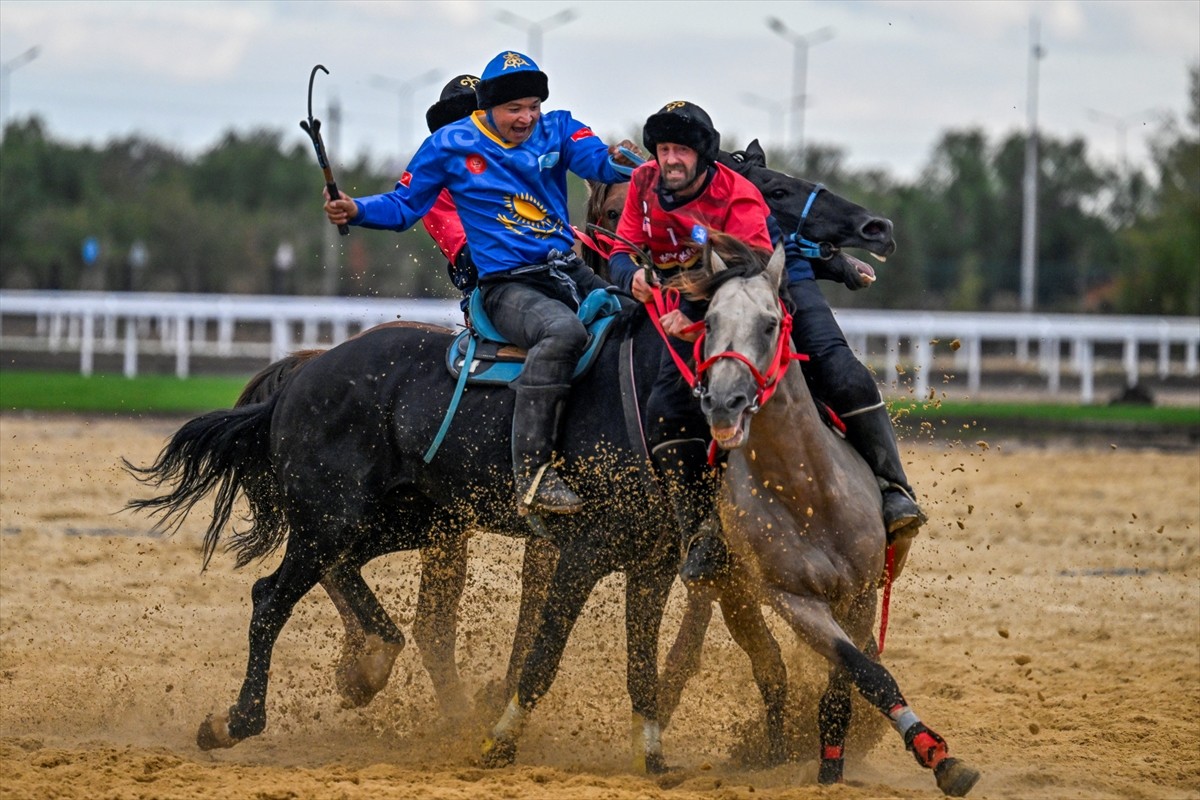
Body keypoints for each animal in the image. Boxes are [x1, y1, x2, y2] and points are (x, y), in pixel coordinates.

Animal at [126, 149, 897, 767]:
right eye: (776, 185)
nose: (875, 227)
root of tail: (304, 376)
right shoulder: (586, 546)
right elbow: (548, 644)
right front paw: (503, 734)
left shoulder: (653, 555)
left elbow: (646, 656)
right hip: (336, 517)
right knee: (272, 598)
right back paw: (239, 719)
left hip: (404, 520)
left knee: (352, 589)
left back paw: (366, 664)